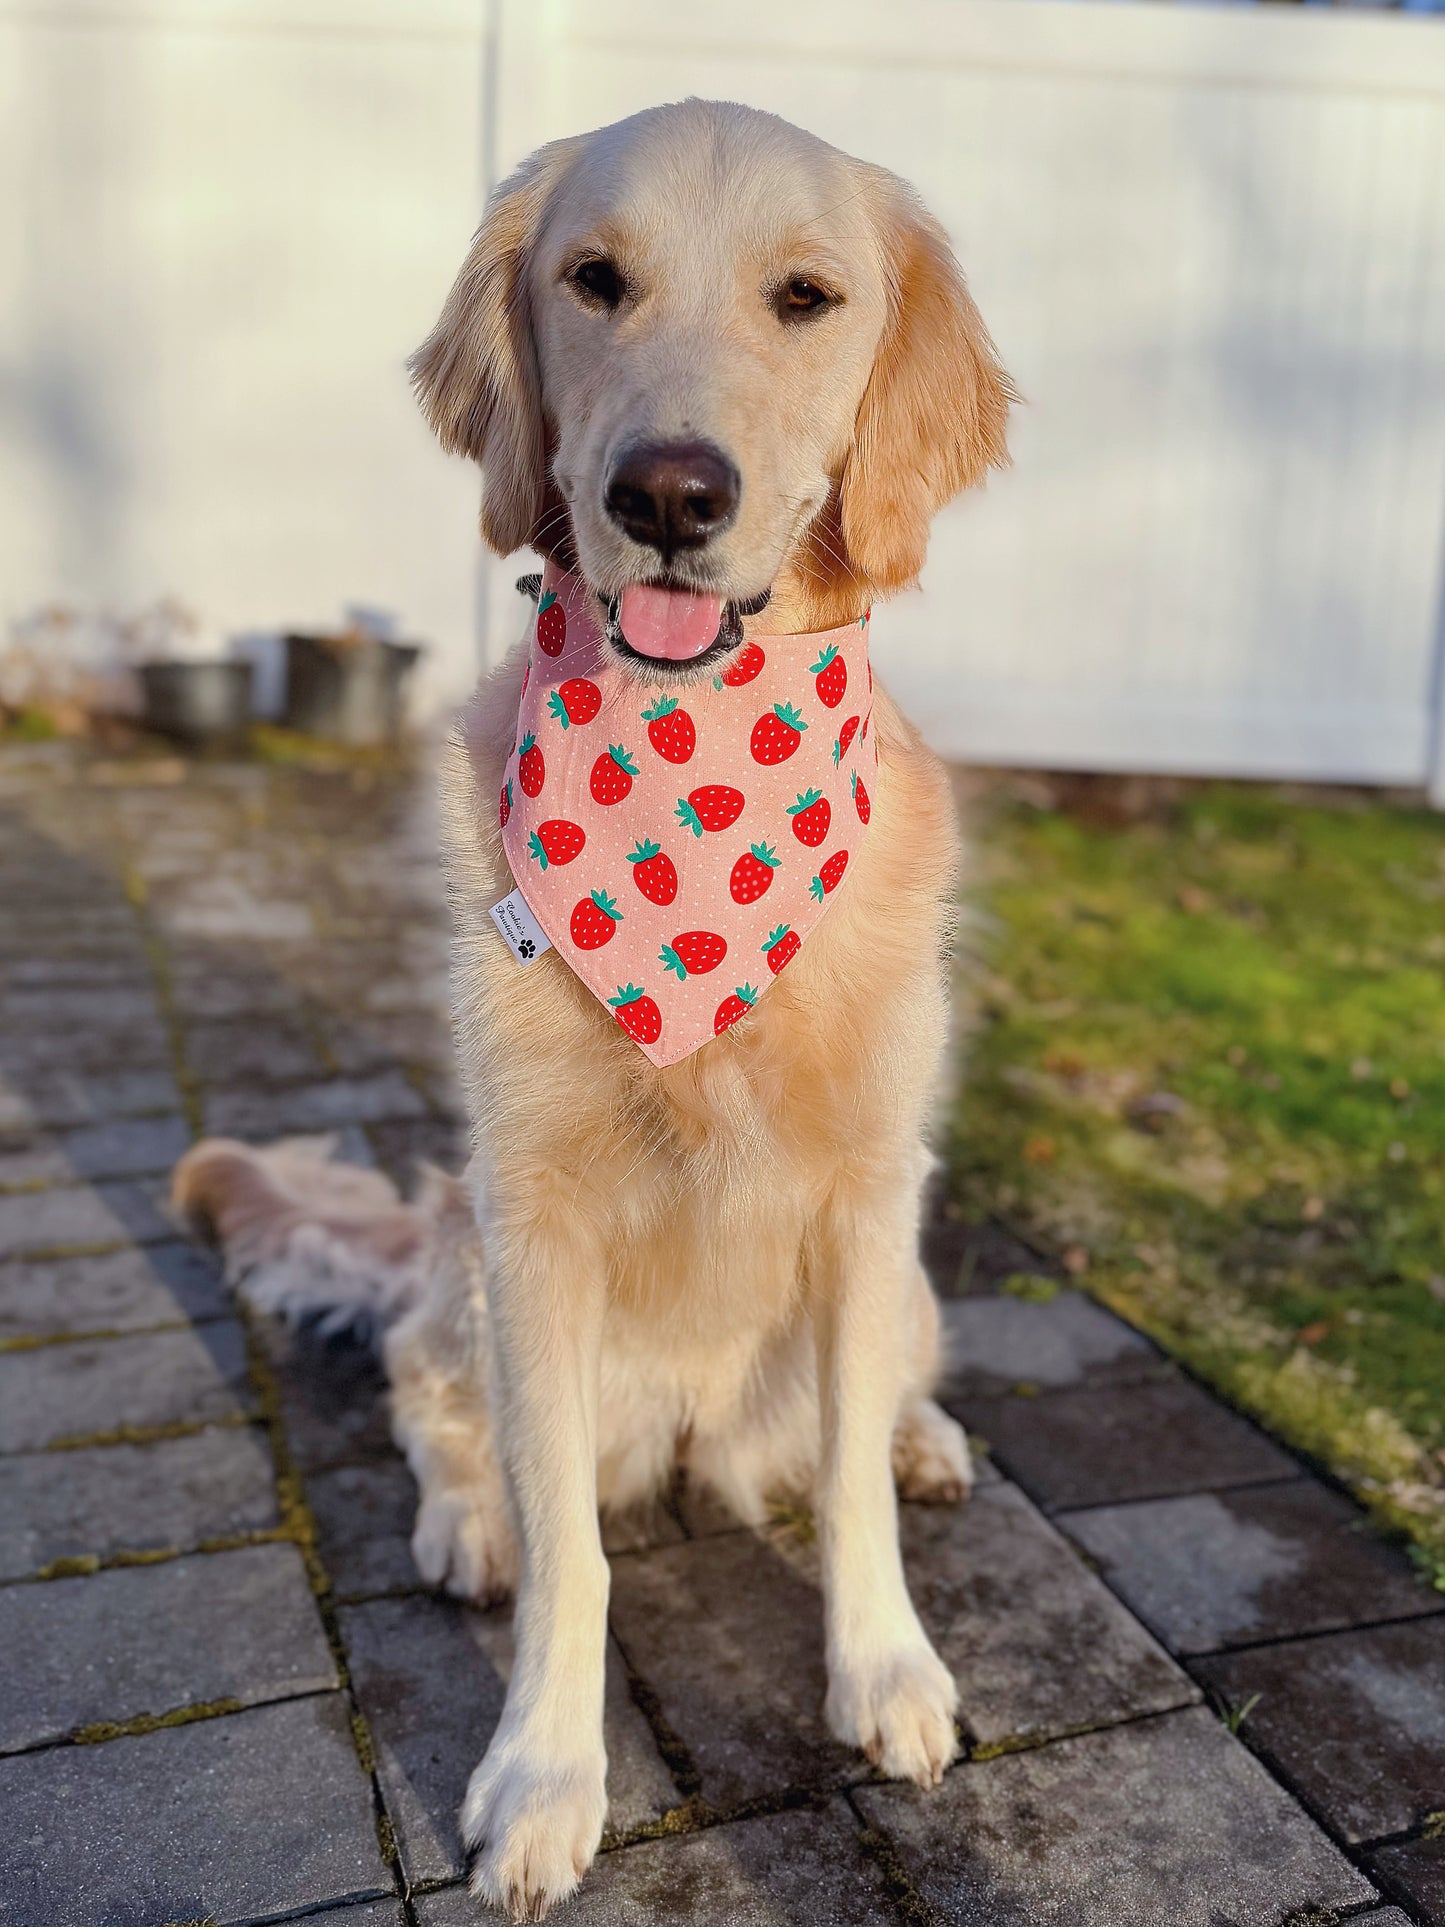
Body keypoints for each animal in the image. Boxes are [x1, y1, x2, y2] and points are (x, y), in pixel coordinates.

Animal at [175, 97, 1009, 1919]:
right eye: (595, 280)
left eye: (807, 297)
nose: (671, 491)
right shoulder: (532, 1216)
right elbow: (575, 1553)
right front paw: (544, 1777)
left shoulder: (870, 1192)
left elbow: (847, 1484)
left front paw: (888, 1670)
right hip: (460, 1258)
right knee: (428, 1401)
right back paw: (463, 1525)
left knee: (873, 1400)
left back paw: (926, 1433)